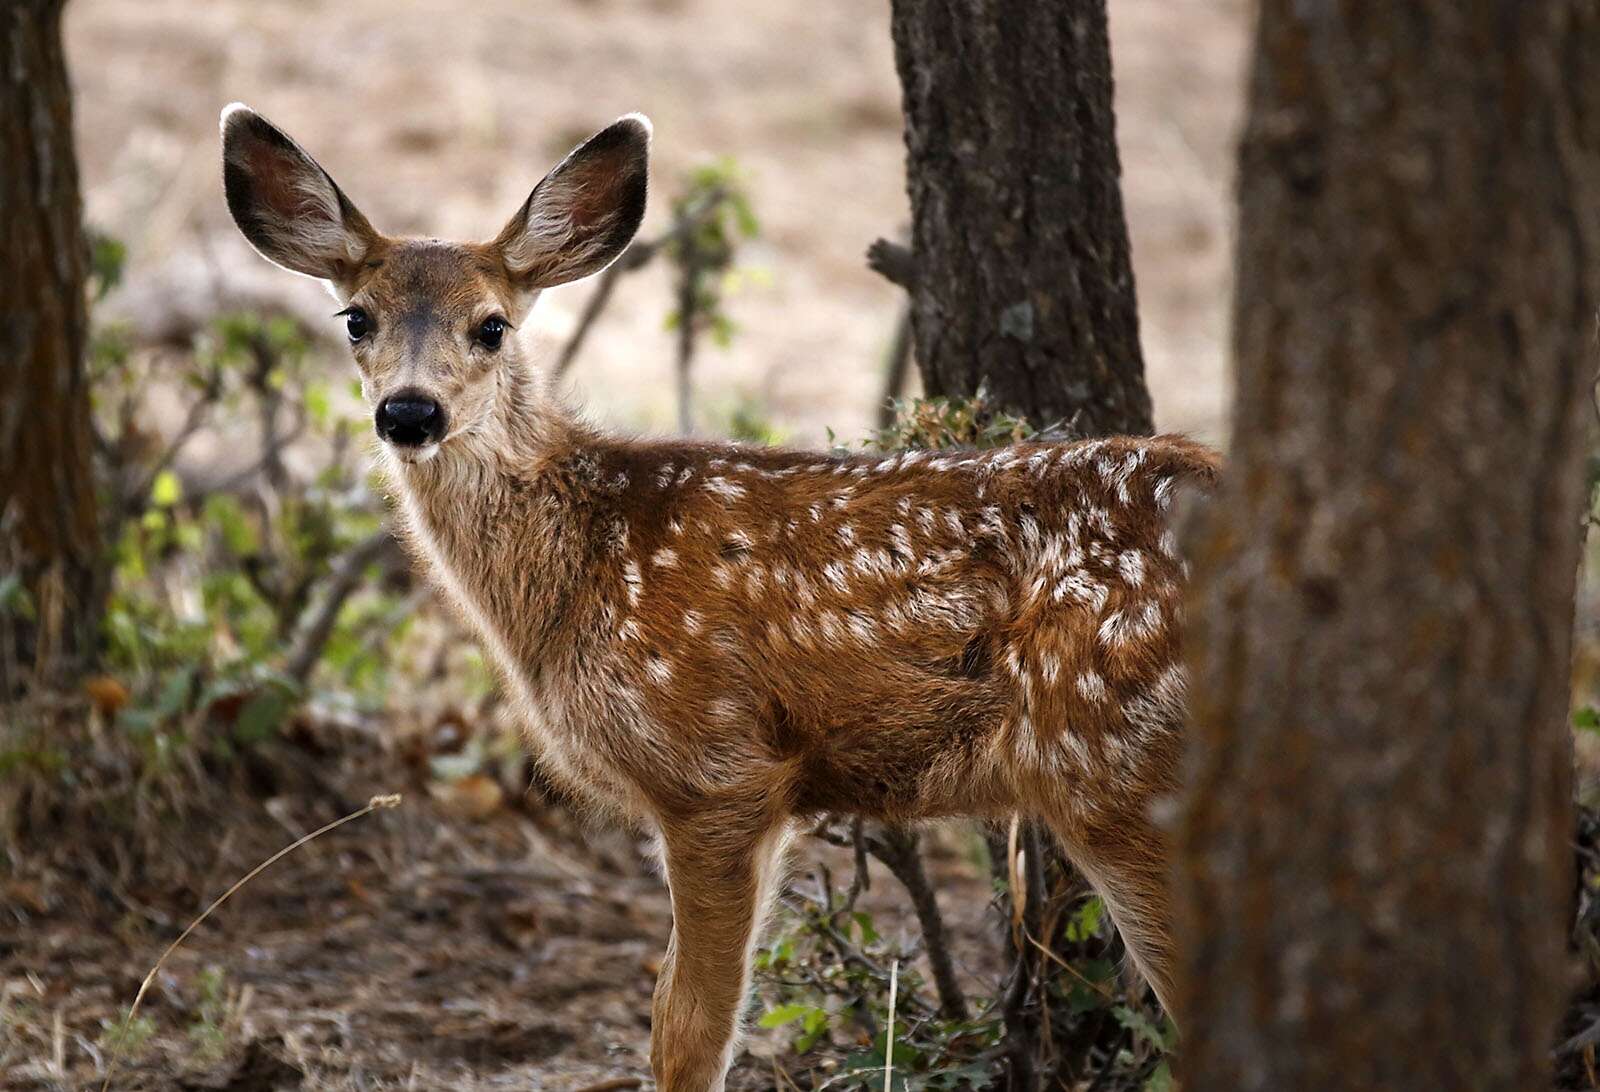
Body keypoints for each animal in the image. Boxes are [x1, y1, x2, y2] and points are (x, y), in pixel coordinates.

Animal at [219, 103, 1219, 1092]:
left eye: (492, 325)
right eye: (357, 318)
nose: (409, 412)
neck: (576, 572)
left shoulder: (715, 768)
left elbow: (686, 1031)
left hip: (1115, 765)